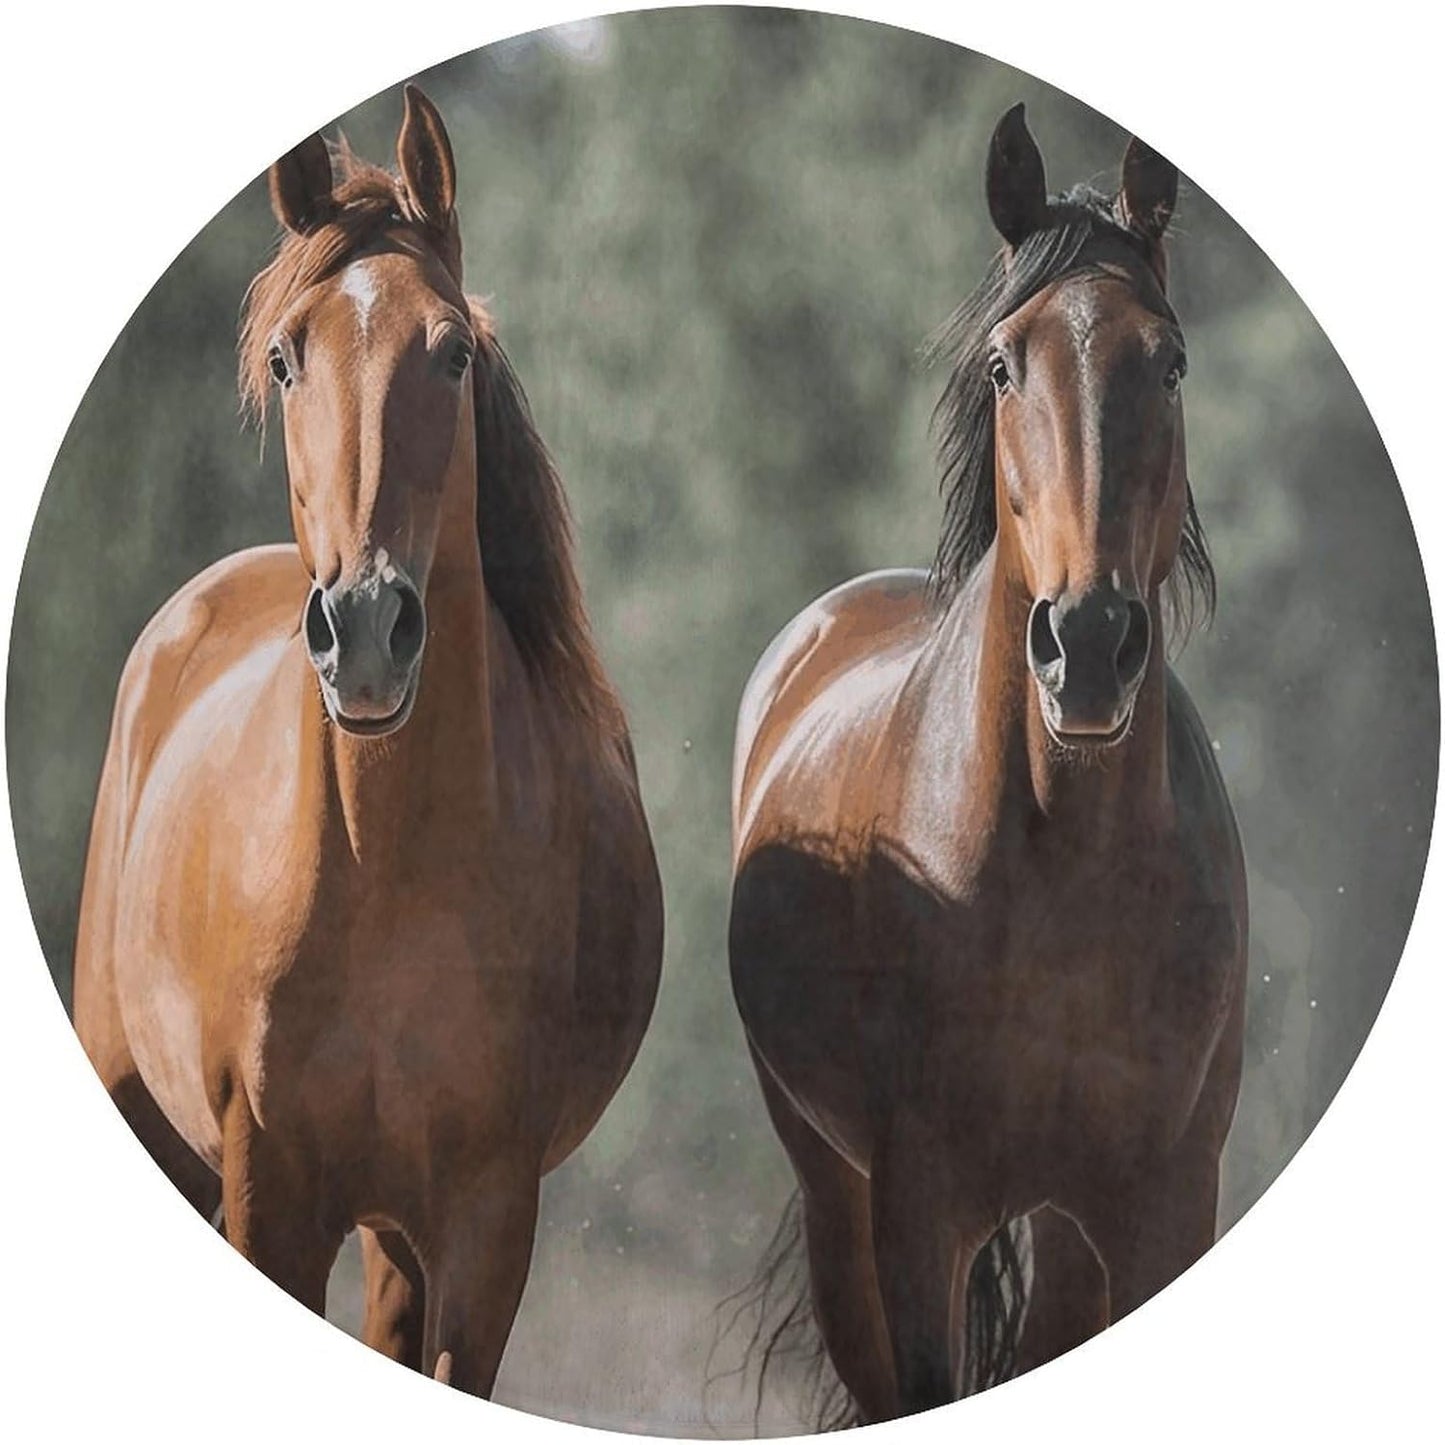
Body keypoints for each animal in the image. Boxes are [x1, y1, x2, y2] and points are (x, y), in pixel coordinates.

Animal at [72, 85, 663, 1396]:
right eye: (287, 357)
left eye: (451, 351)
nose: (364, 627)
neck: (384, 870)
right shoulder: (271, 1193)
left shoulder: (484, 1223)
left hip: (396, 1230)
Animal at [728, 104, 1247, 1423]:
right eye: (1007, 365)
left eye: (1167, 362)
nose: (1089, 644)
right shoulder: (920, 1212)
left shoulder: (1161, 1204)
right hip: (835, 1195)